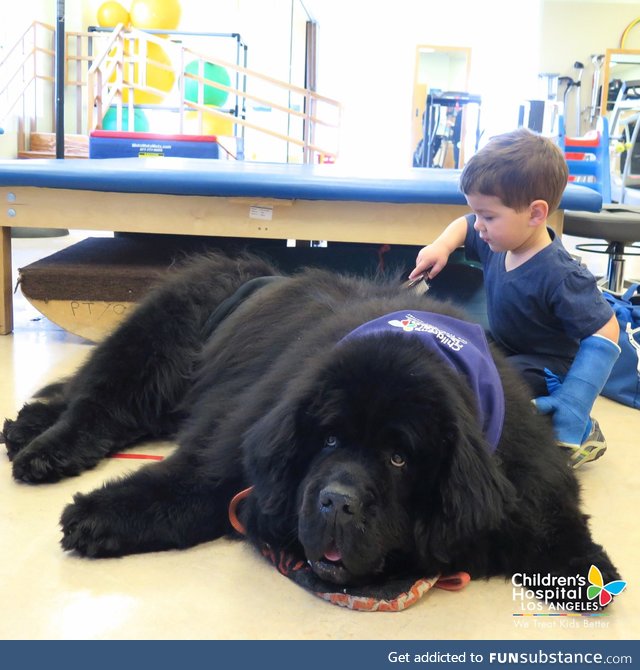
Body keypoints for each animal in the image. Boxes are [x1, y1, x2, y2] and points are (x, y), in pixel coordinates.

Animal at [1, 253, 620, 608]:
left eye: (399, 459)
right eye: (328, 439)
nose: (337, 502)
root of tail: (250, 273)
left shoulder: (520, 479)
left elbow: (553, 527)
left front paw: (591, 570)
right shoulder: (247, 431)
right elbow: (189, 483)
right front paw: (95, 515)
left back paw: (26, 426)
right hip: (151, 350)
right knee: (98, 401)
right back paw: (43, 450)